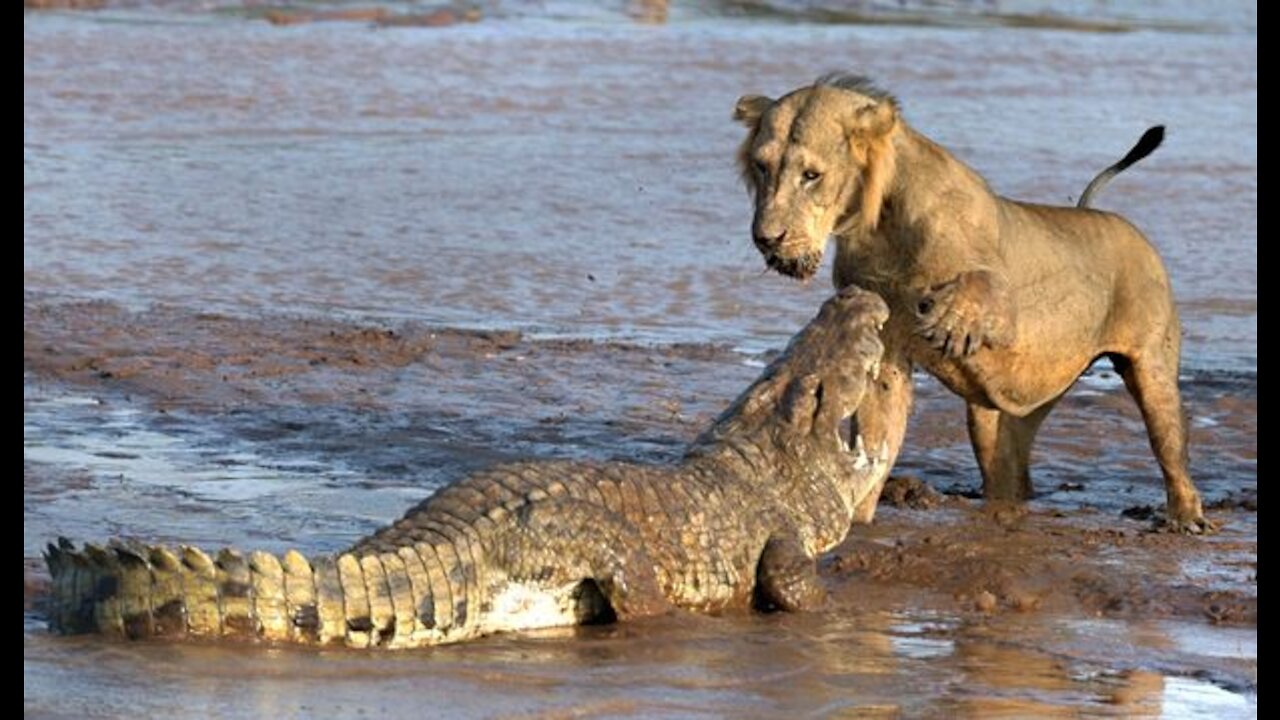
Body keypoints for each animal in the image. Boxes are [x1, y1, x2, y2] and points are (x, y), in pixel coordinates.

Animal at [737, 74, 1203, 527]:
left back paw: (1186, 517)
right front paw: (859, 518)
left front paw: (948, 321)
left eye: (811, 175)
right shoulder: (884, 342)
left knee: (1168, 441)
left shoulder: (1011, 309)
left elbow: (982, 285)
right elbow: (877, 433)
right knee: (1008, 467)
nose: (766, 238)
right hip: (1002, 415)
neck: (880, 225)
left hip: (1152, 368)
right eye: (762, 166)